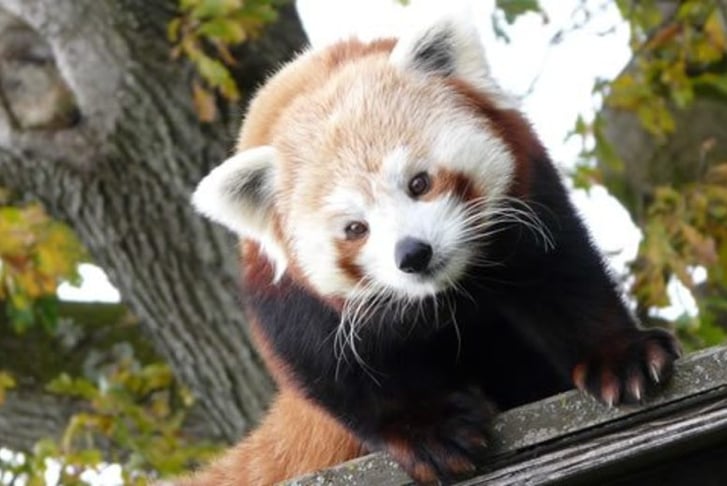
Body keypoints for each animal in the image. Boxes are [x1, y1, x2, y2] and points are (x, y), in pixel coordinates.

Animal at [183, 13, 684, 486]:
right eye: (355, 228)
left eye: (419, 183)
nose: (412, 254)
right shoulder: (292, 303)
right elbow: (339, 372)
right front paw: (429, 431)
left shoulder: (529, 197)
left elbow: (565, 281)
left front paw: (620, 358)